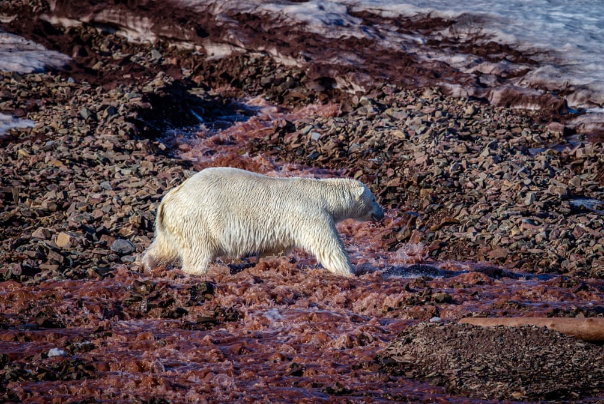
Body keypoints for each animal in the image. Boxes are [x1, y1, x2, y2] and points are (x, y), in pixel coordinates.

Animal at [142, 167, 382, 278]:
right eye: (373, 198)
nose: (382, 213)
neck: (320, 193)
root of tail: (169, 198)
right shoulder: (311, 214)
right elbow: (328, 247)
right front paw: (350, 271)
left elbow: (274, 250)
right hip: (197, 221)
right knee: (197, 252)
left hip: (172, 223)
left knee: (164, 247)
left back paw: (147, 265)